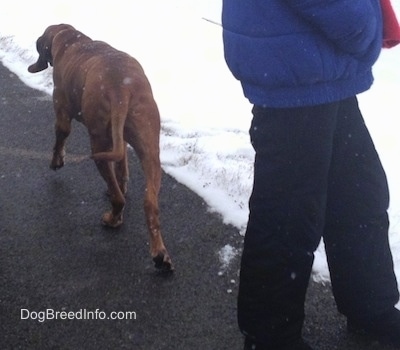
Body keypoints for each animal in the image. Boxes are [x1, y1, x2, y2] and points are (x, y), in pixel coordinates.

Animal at [27, 23, 172, 270]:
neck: (72, 38)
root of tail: (121, 89)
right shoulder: (120, 140)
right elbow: (122, 165)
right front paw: (122, 183)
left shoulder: (62, 113)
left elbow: (60, 139)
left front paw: (56, 162)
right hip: (149, 147)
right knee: (149, 203)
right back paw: (160, 256)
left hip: (97, 143)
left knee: (118, 199)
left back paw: (113, 219)